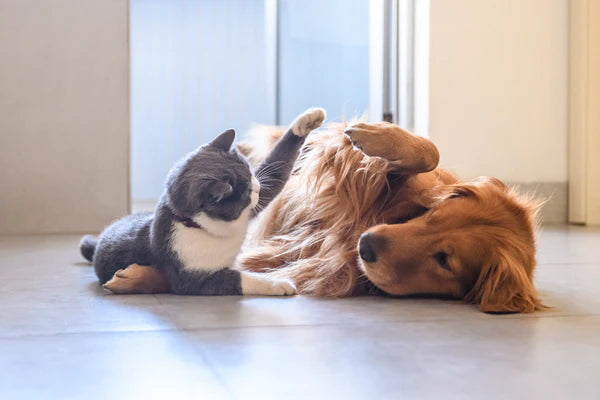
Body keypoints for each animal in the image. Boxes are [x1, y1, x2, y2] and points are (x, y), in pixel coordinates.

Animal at [79, 108, 326, 296]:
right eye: (245, 192)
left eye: (249, 170)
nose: (256, 186)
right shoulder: (195, 278)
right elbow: (240, 279)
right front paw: (278, 284)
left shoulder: (256, 203)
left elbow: (276, 170)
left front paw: (307, 120)